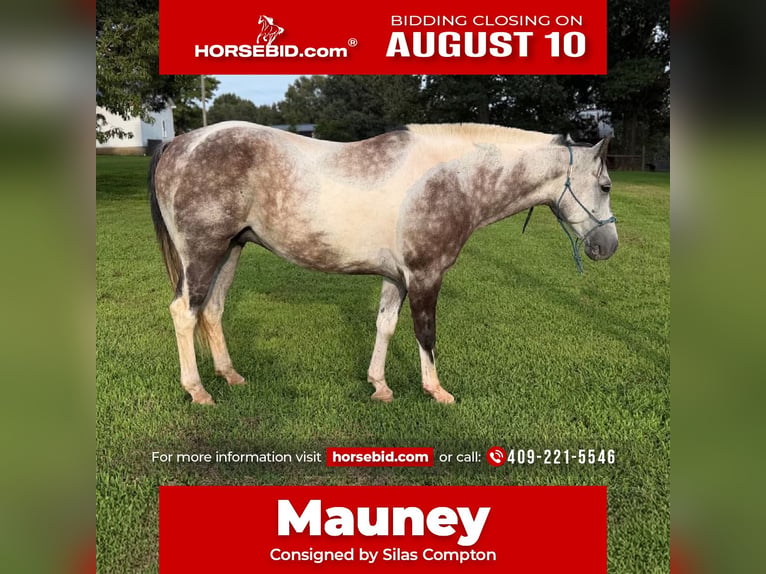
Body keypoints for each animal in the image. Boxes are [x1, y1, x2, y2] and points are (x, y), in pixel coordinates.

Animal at [148, 122, 618, 405]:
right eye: (606, 185)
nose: (608, 246)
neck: (450, 179)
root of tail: (180, 142)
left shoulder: (398, 277)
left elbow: (385, 326)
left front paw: (380, 385)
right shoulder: (426, 275)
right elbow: (425, 333)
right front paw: (436, 390)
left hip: (231, 250)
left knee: (211, 310)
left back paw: (230, 375)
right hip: (203, 253)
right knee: (183, 312)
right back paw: (198, 391)